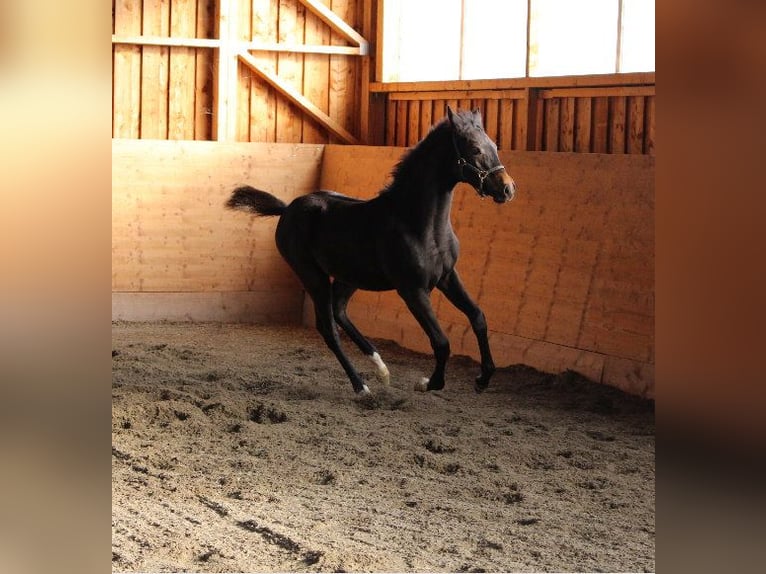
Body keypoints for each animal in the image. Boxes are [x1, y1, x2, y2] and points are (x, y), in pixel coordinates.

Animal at [225, 107, 520, 396]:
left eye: (493, 145)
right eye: (475, 149)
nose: (508, 188)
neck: (415, 222)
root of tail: (287, 209)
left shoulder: (448, 276)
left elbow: (478, 317)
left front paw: (483, 378)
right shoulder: (412, 290)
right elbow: (441, 341)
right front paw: (429, 383)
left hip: (349, 277)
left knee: (339, 311)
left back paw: (381, 369)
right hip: (312, 276)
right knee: (328, 327)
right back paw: (361, 386)